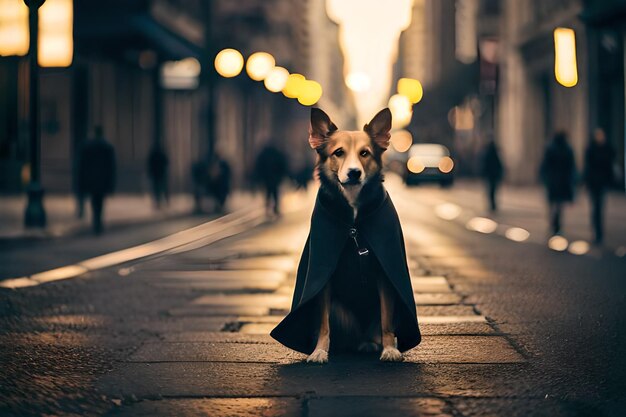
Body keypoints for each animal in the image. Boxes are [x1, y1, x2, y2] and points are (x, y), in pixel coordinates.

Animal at [268, 108, 420, 364]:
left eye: (365, 153)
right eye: (338, 153)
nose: (354, 172)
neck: (353, 224)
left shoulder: (384, 275)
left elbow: (386, 319)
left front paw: (390, 349)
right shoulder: (324, 276)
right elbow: (323, 324)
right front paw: (319, 351)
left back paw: (370, 344)